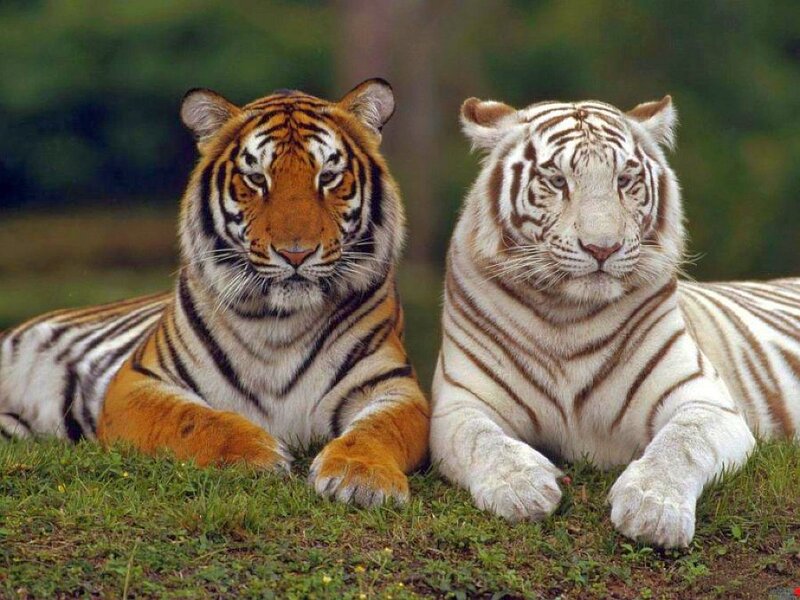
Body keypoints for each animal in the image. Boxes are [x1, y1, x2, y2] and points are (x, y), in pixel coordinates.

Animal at [0, 79, 429, 507]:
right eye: (256, 178)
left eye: (328, 177)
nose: (296, 253)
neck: (280, 323)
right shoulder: (138, 382)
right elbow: (193, 419)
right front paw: (256, 453)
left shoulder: (393, 385)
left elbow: (378, 429)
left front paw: (362, 476)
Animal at [430, 94, 800, 547]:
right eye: (557, 181)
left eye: (624, 180)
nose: (602, 248)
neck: (567, 316)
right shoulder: (459, 404)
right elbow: (481, 440)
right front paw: (521, 487)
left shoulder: (705, 401)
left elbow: (682, 443)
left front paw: (652, 509)